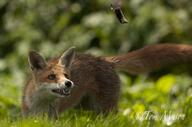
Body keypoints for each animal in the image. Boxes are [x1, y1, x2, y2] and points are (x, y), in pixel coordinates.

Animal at [21, 43, 192, 117]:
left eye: (66, 75)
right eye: (51, 76)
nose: (69, 83)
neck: (40, 105)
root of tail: (105, 59)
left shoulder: (53, 118)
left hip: (106, 108)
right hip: (90, 109)